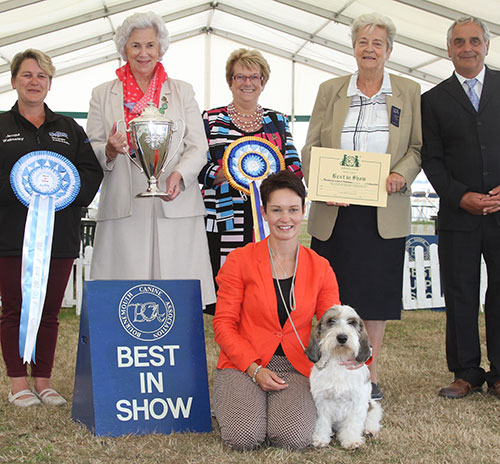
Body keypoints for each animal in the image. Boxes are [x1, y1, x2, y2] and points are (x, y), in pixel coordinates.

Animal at [304, 304, 382, 450]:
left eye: (351, 322)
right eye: (331, 321)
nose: (342, 337)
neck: (338, 359)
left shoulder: (357, 401)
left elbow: (353, 423)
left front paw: (351, 441)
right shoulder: (322, 402)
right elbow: (322, 422)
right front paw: (320, 439)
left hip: (373, 404)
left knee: (374, 416)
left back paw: (369, 429)